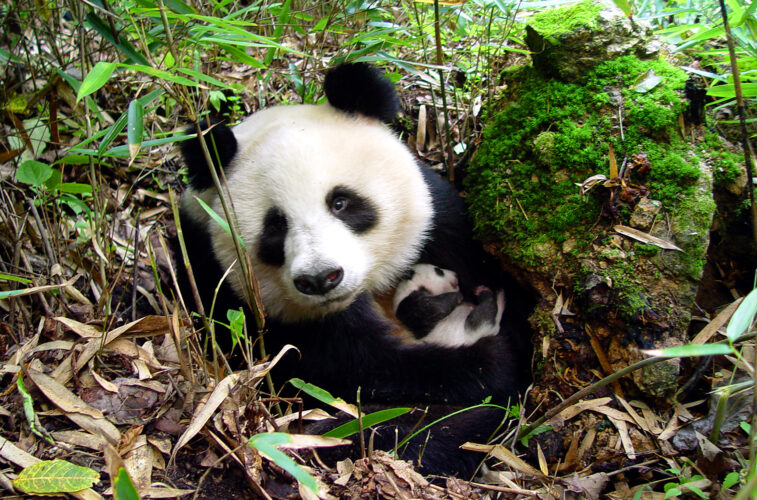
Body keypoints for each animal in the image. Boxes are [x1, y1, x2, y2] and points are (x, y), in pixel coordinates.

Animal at [177, 63, 530, 478]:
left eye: (341, 202)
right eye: (275, 226)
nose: (320, 278)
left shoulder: (440, 225)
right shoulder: (240, 297)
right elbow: (365, 370)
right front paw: (488, 362)